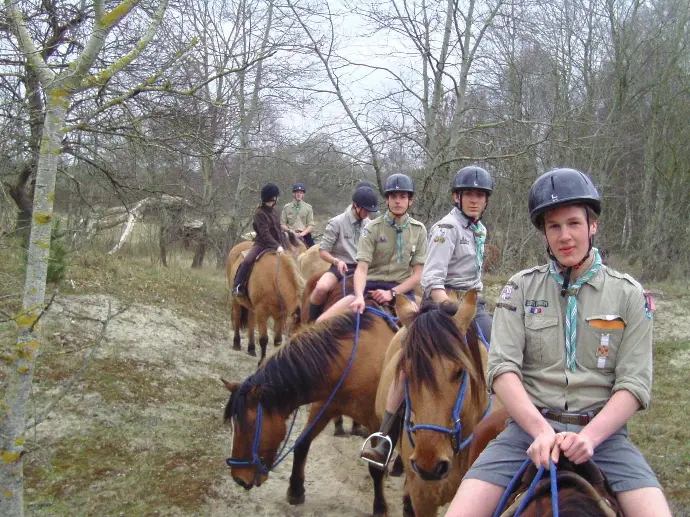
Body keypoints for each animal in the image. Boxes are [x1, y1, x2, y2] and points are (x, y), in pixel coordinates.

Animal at [223, 306, 398, 516]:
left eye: (251, 426)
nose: (239, 479)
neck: (355, 364)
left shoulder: (377, 423)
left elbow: (375, 467)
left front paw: (380, 507)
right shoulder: (324, 407)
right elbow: (301, 444)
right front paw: (296, 490)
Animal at [227, 232, 306, 364]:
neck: (274, 279)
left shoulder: (280, 315)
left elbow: (277, 340)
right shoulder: (262, 311)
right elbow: (264, 339)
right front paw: (262, 361)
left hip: (252, 307)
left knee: (251, 321)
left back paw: (251, 348)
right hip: (236, 299)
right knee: (237, 317)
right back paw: (237, 343)